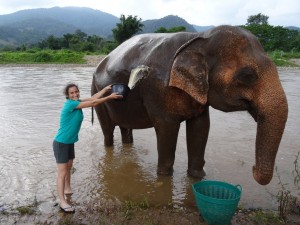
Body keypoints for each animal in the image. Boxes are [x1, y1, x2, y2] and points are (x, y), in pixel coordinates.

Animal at [92, 25, 288, 185]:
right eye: (247, 76)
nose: (253, 169)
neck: (199, 38)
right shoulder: (158, 90)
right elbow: (167, 129)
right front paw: (164, 179)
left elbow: (200, 127)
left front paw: (197, 178)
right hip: (96, 92)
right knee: (108, 130)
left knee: (125, 129)